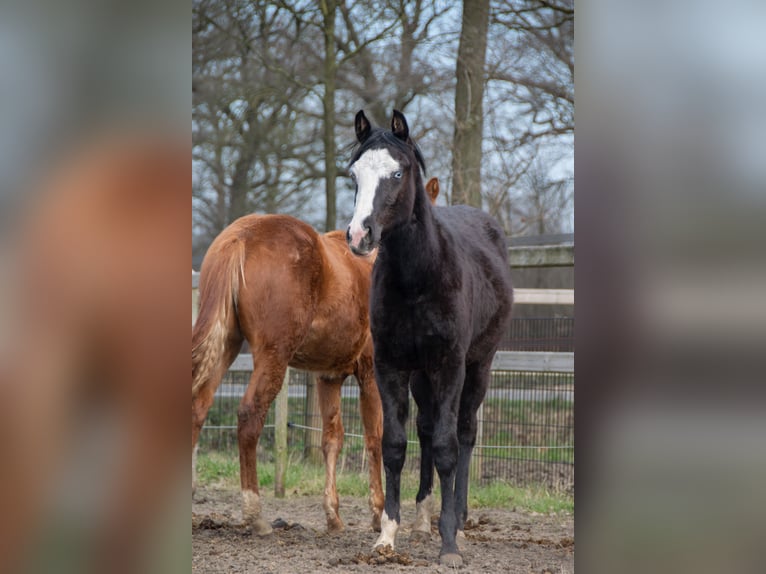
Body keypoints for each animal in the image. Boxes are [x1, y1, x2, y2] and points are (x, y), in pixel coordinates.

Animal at [345, 110, 513, 567]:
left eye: (397, 173)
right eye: (354, 175)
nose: (359, 235)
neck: (418, 278)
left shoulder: (450, 365)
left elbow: (446, 445)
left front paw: (449, 544)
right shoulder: (390, 365)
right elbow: (395, 443)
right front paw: (387, 535)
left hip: (478, 366)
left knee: (466, 432)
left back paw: (459, 518)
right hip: (422, 376)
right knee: (423, 426)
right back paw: (423, 516)